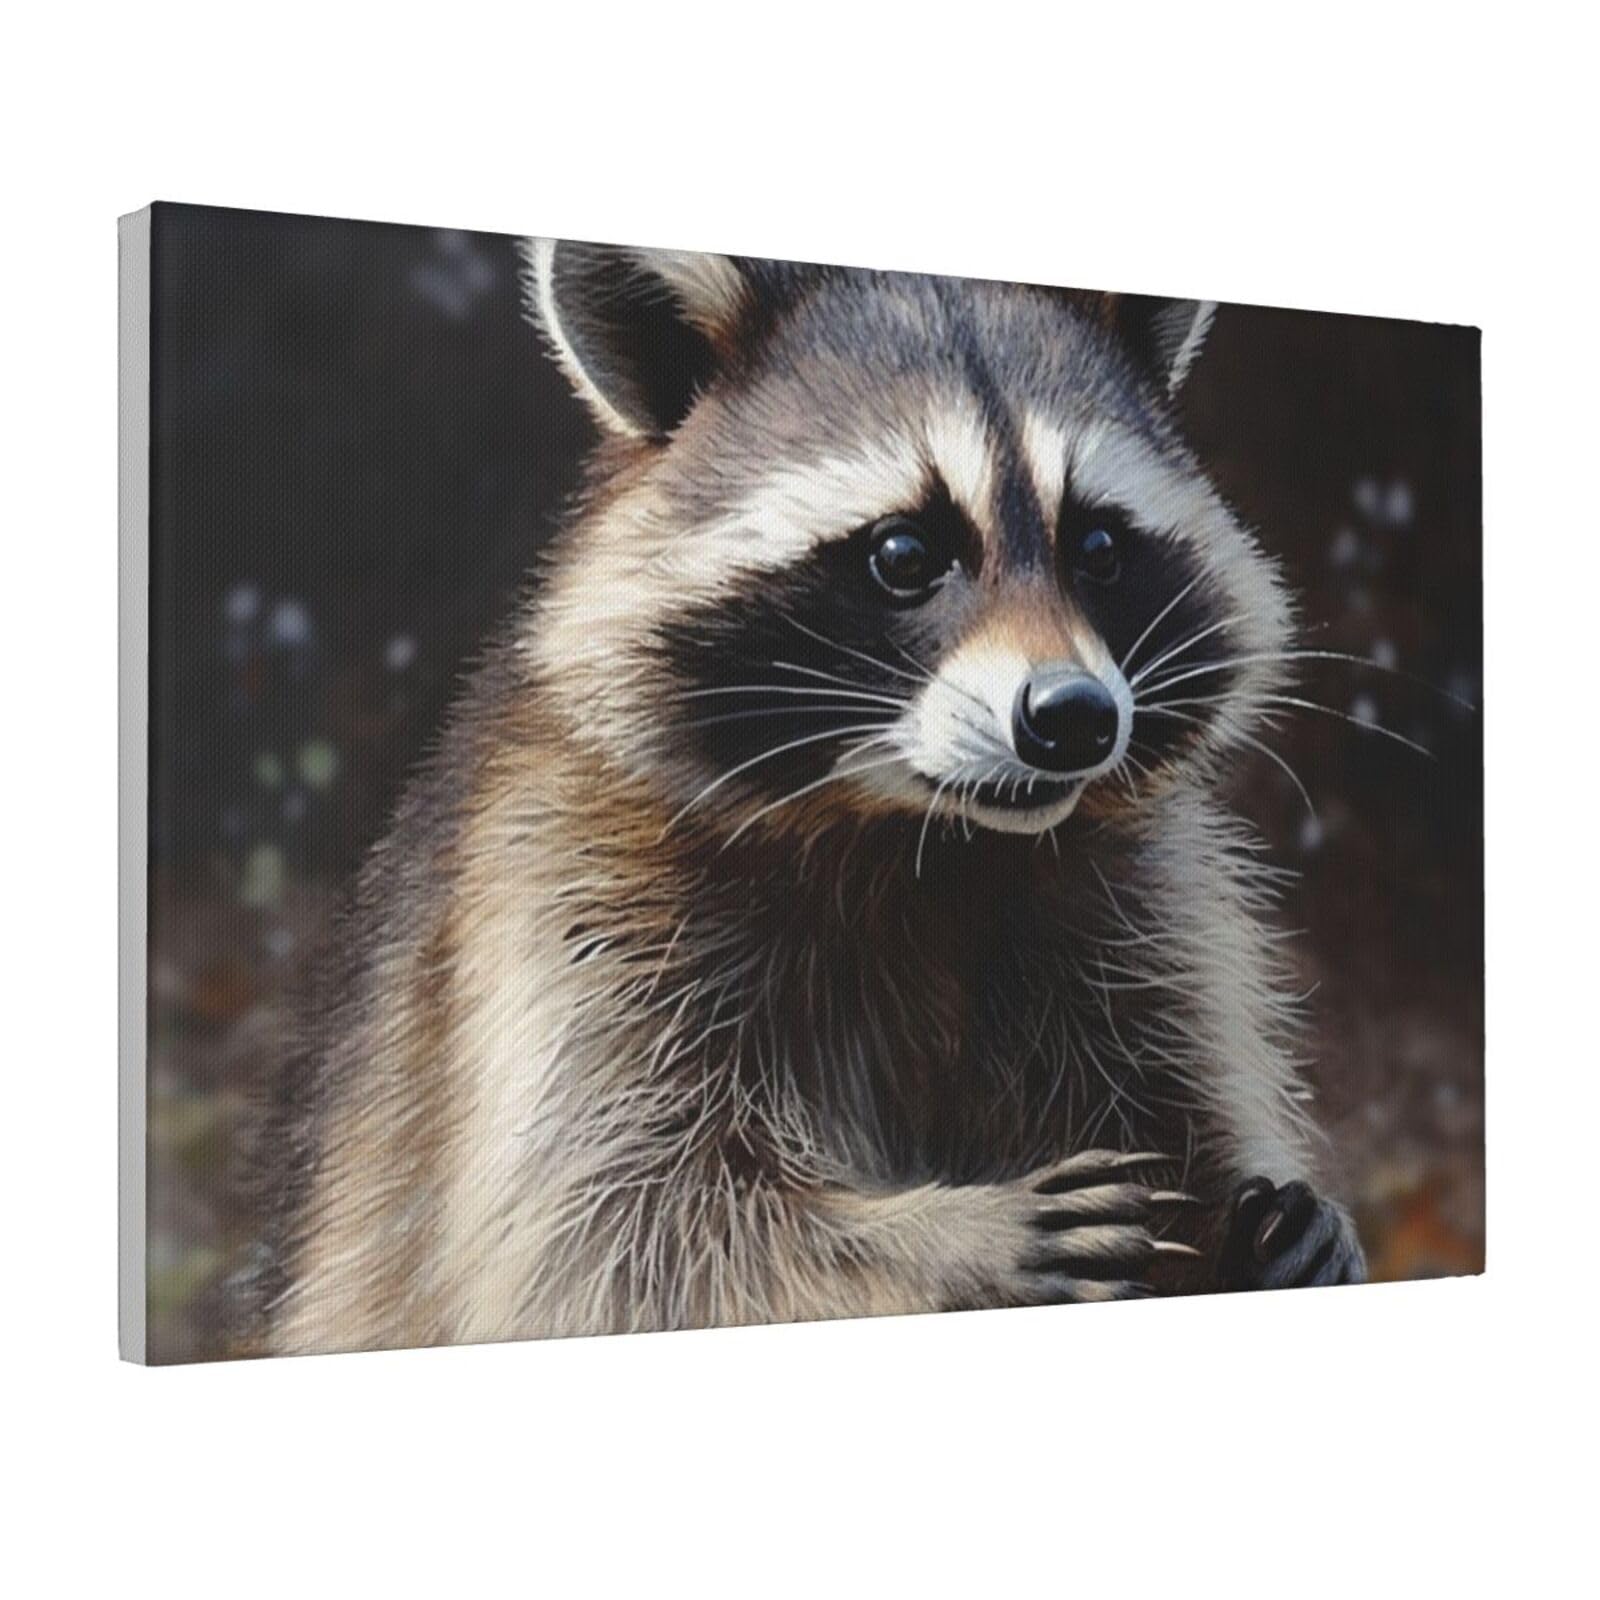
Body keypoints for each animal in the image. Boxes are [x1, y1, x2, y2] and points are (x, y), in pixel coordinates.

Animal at [265, 242, 1365, 1356]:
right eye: (903, 554)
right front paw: (945, 1239)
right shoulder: (564, 902)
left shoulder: (1141, 912)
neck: (922, 838)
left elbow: (1184, 1111)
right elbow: (618, 1232)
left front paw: (1266, 1223)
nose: (1074, 716)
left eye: (1097, 547)